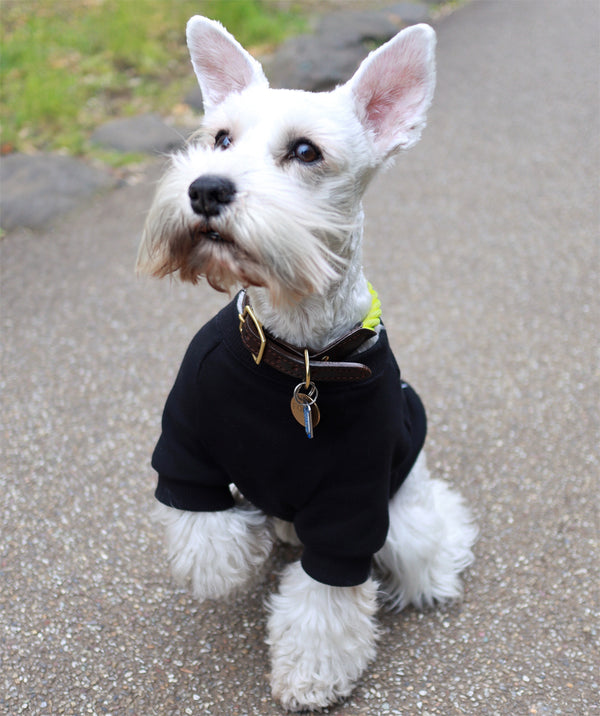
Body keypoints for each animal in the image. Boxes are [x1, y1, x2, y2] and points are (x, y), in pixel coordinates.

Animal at [137, 16, 478, 712]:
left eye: (305, 152)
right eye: (221, 138)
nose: (206, 188)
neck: (298, 359)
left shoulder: (350, 508)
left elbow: (325, 603)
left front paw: (310, 676)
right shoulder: (184, 447)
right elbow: (206, 536)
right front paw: (237, 556)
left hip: (408, 514)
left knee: (428, 539)